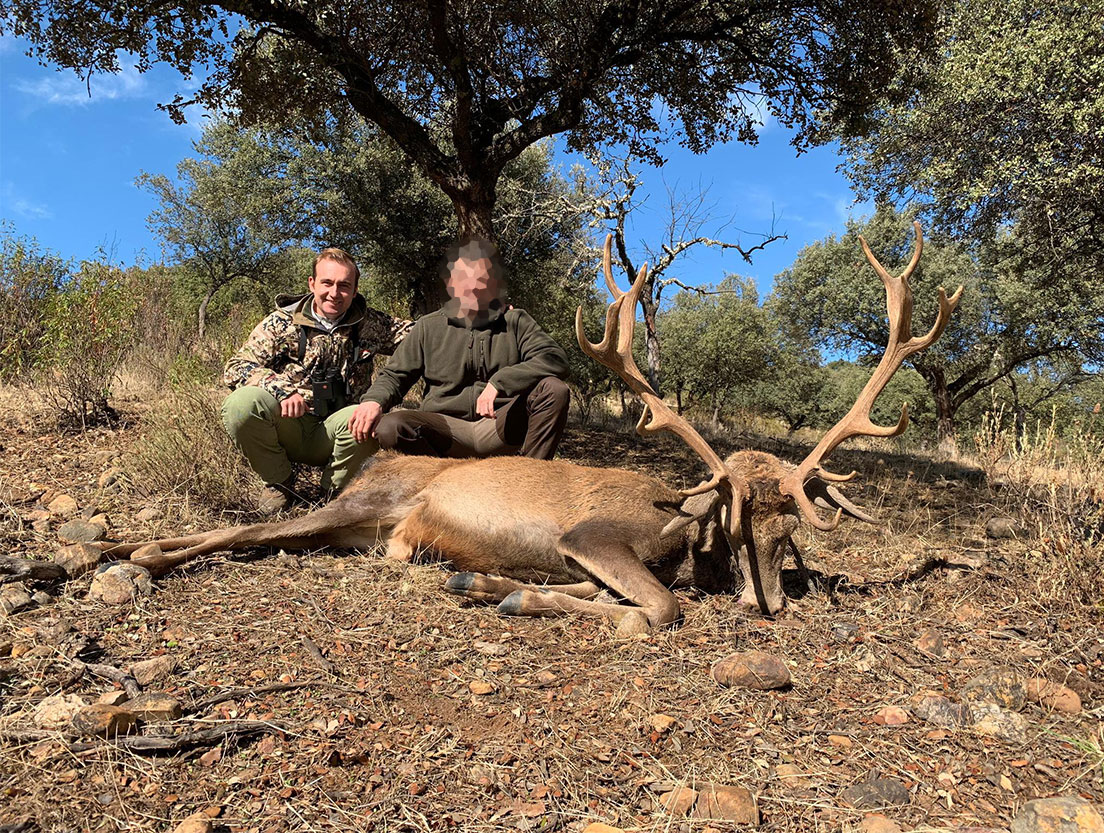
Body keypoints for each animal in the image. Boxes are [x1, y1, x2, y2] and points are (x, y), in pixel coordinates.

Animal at [83, 225, 958, 626]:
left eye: (792, 529)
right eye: (739, 520)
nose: (769, 600)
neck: (678, 535)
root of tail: (374, 470)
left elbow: (577, 590)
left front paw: (489, 585)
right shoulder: (592, 534)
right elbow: (659, 609)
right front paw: (519, 596)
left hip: (357, 529)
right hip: (359, 503)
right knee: (240, 530)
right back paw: (136, 552)